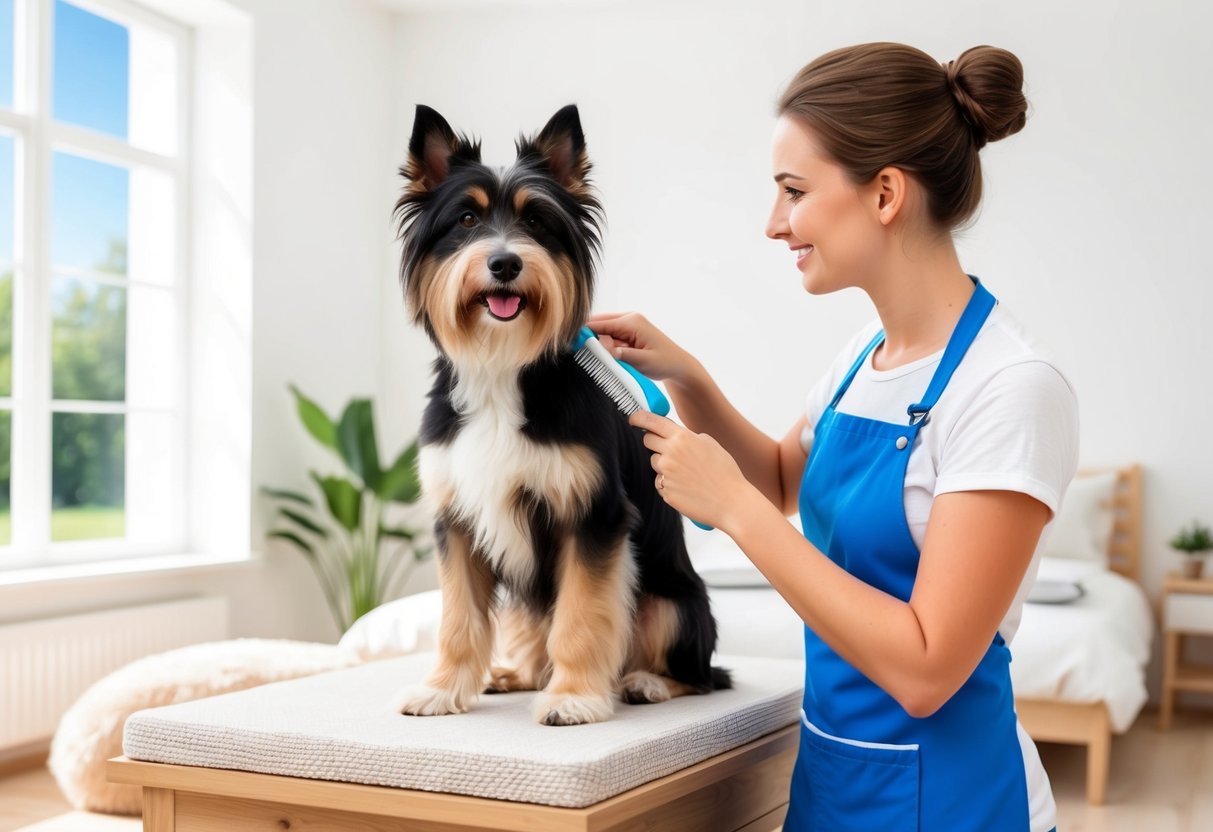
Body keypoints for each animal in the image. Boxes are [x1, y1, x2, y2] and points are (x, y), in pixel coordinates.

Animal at [393, 104, 727, 727]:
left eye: (538, 222)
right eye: (467, 219)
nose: (504, 262)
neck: (504, 369)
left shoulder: (592, 517)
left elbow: (581, 615)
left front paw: (572, 696)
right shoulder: (457, 522)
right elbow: (458, 618)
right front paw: (444, 689)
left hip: (674, 604)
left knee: (699, 675)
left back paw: (646, 682)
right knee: (530, 633)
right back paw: (513, 674)